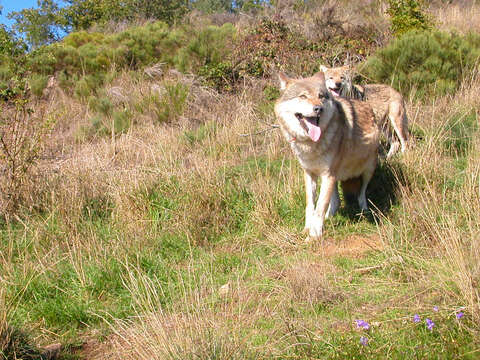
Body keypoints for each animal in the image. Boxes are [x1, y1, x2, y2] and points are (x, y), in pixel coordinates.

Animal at [276, 72, 380, 242]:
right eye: (303, 96)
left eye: (321, 96)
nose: (318, 108)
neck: (311, 144)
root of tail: (369, 107)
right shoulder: (309, 174)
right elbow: (311, 205)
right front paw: (307, 228)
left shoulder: (327, 174)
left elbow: (320, 207)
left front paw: (313, 236)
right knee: (336, 201)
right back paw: (329, 218)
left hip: (368, 169)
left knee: (361, 193)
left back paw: (364, 210)